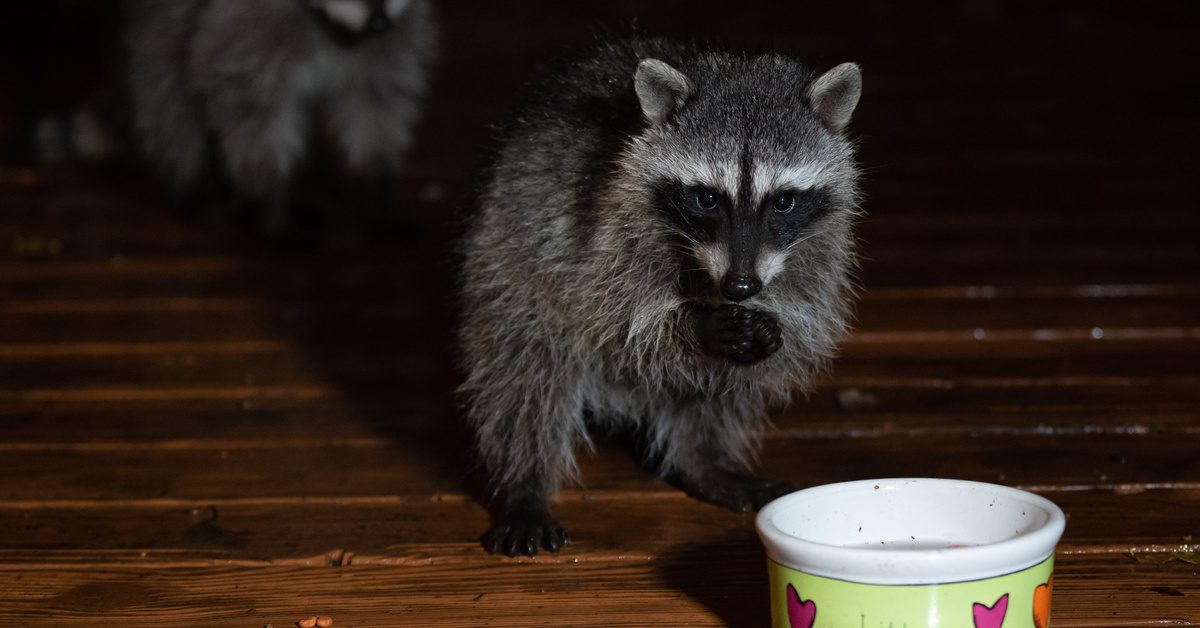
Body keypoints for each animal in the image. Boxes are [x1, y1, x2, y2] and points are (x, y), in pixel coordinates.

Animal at [123, 0, 435, 235]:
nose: (380, 23)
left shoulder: (394, 37)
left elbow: (377, 96)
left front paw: (371, 174)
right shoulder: (242, 26)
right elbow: (246, 100)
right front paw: (268, 192)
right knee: (167, 93)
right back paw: (190, 179)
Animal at [459, 37, 863, 557]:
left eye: (783, 200)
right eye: (707, 198)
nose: (740, 288)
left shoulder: (821, 241)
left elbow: (805, 311)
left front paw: (776, 326)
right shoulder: (603, 222)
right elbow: (612, 320)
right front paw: (696, 327)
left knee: (715, 392)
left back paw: (705, 460)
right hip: (507, 254)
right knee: (527, 367)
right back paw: (524, 483)